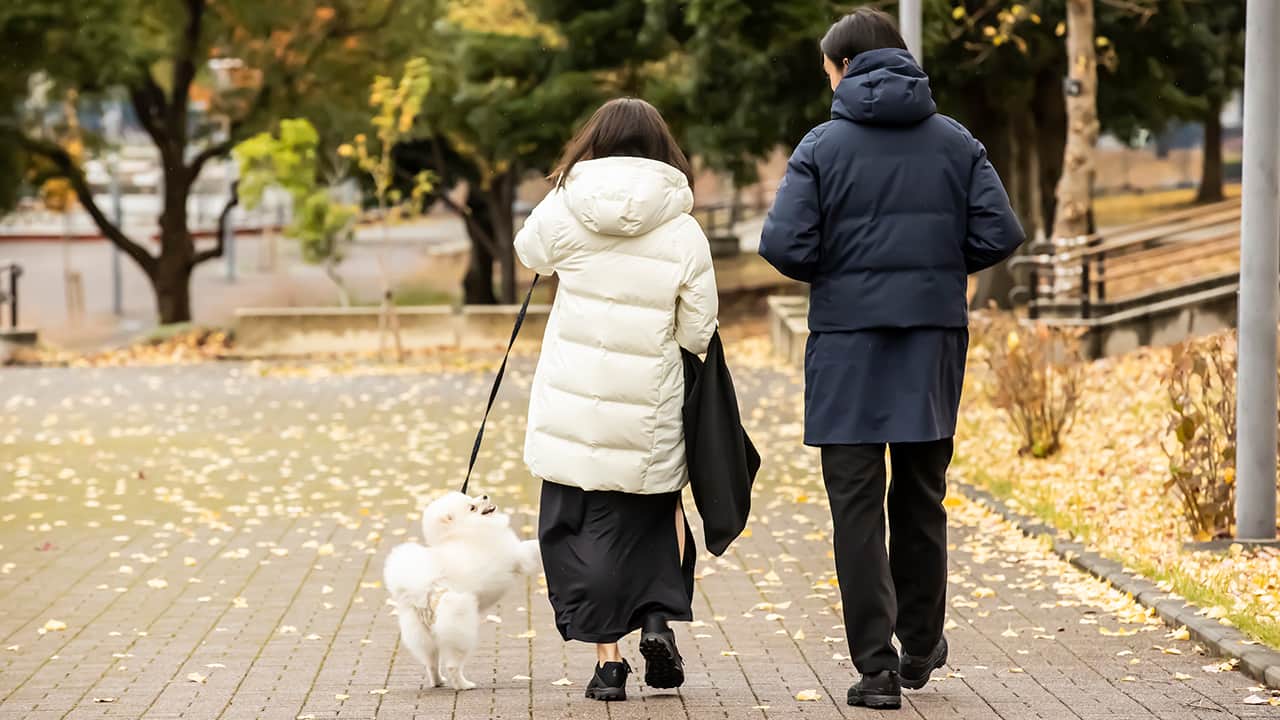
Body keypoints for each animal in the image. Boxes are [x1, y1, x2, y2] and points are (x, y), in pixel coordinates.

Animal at [381, 489, 537, 686]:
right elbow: (534, 546)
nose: (485, 495)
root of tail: (422, 591)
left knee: (431, 663)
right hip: (460, 626)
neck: (464, 532)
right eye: (472, 507)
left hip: (423, 636)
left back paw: (438, 681)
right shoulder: (518, 556)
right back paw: (464, 685)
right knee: (453, 665)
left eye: (471, 498)